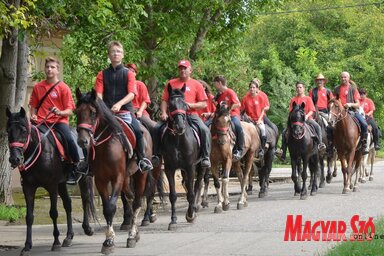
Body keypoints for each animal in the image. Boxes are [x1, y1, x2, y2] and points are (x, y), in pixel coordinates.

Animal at [5, 107, 96, 256]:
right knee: (68, 204)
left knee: (86, 199)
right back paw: (69, 237)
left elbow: (53, 213)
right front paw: (27, 246)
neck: (40, 150)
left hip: (84, 177)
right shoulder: (28, 188)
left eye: (23, 130)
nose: (15, 159)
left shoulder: (52, 186)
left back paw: (87, 228)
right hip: (62, 183)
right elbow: (29, 217)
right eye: (8, 130)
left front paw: (56, 242)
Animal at [74, 88, 152, 254]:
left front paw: (109, 241)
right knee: (130, 197)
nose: (82, 141)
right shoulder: (101, 180)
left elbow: (111, 207)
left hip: (140, 175)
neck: (106, 146)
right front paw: (108, 240)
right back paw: (135, 233)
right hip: (127, 178)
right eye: (77, 112)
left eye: (93, 112)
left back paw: (131, 235)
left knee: (137, 202)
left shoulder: (117, 177)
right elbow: (106, 209)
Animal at [161, 84, 208, 230]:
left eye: (184, 104)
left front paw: (191, 215)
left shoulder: (190, 167)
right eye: (171, 105)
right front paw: (173, 220)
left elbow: (192, 192)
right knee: (188, 185)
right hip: (182, 170)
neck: (178, 140)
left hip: (200, 166)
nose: (180, 126)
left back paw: (194, 208)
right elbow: (173, 195)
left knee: (198, 184)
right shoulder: (170, 169)